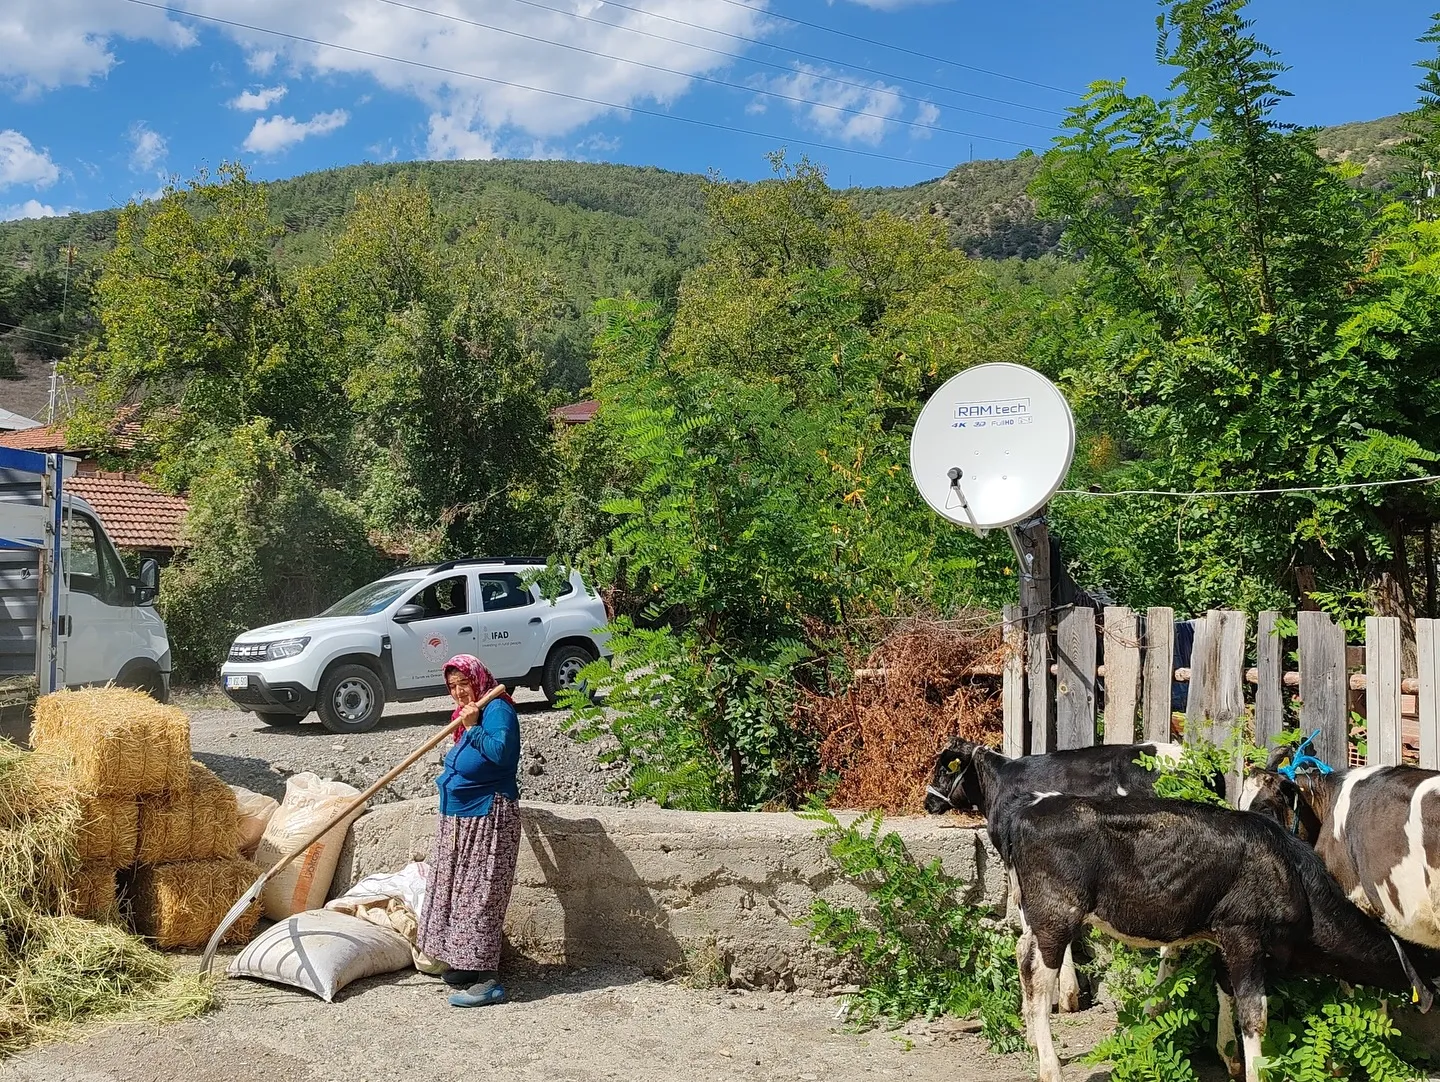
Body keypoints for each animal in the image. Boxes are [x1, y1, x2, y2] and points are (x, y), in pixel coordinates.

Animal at [1008, 789, 1440, 1082]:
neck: (1293, 875)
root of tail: (1029, 809)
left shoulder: (1222, 934)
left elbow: (1224, 989)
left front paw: (1229, 1056)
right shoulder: (1242, 929)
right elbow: (1255, 1012)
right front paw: (1254, 1069)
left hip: (1036, 914)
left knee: (1022, 955)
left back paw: (1030, 1041)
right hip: (1056, 911)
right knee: (1040, 979)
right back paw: (1049, 1067)